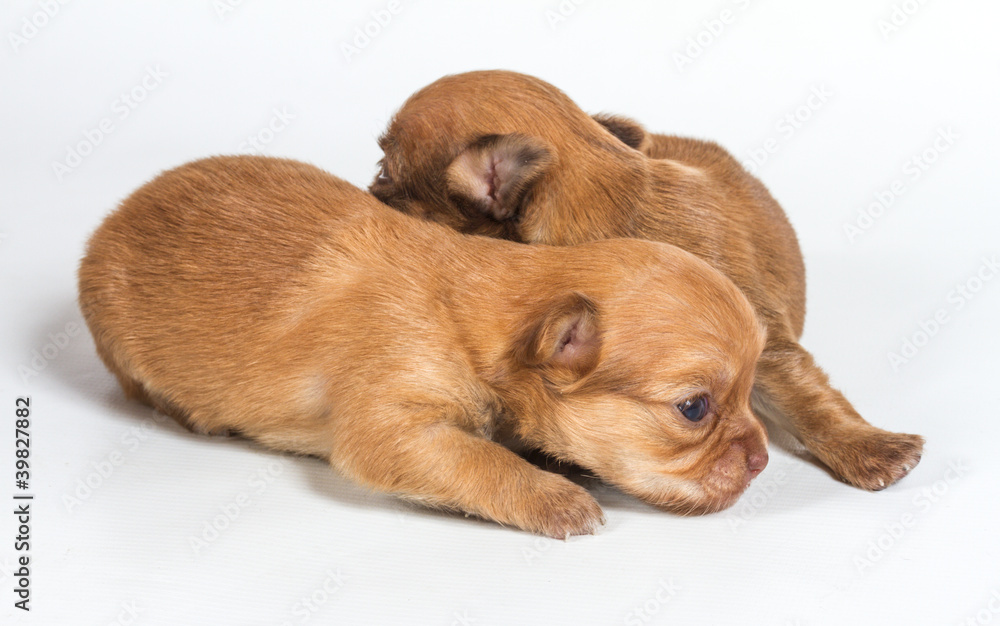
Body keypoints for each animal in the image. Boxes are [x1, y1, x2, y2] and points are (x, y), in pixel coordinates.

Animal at [78, 156, 764, 536]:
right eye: (694, 409)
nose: (761, 461)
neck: (479, 319)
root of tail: (111, 218)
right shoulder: (392, 429)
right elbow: (480, 460)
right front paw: (553, 495)